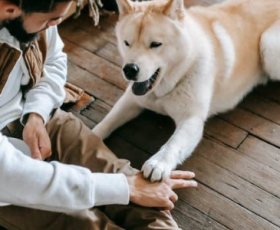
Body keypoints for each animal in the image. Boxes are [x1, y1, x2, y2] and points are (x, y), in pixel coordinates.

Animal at [93, 0, 280, 181]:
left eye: (155, 44)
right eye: (127, 43)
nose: (130, 70)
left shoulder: (191, 119)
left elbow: (174, 143)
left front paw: (158, 163)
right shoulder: (132, 100)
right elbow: (108, 121)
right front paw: (91, 136)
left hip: (268, 46)